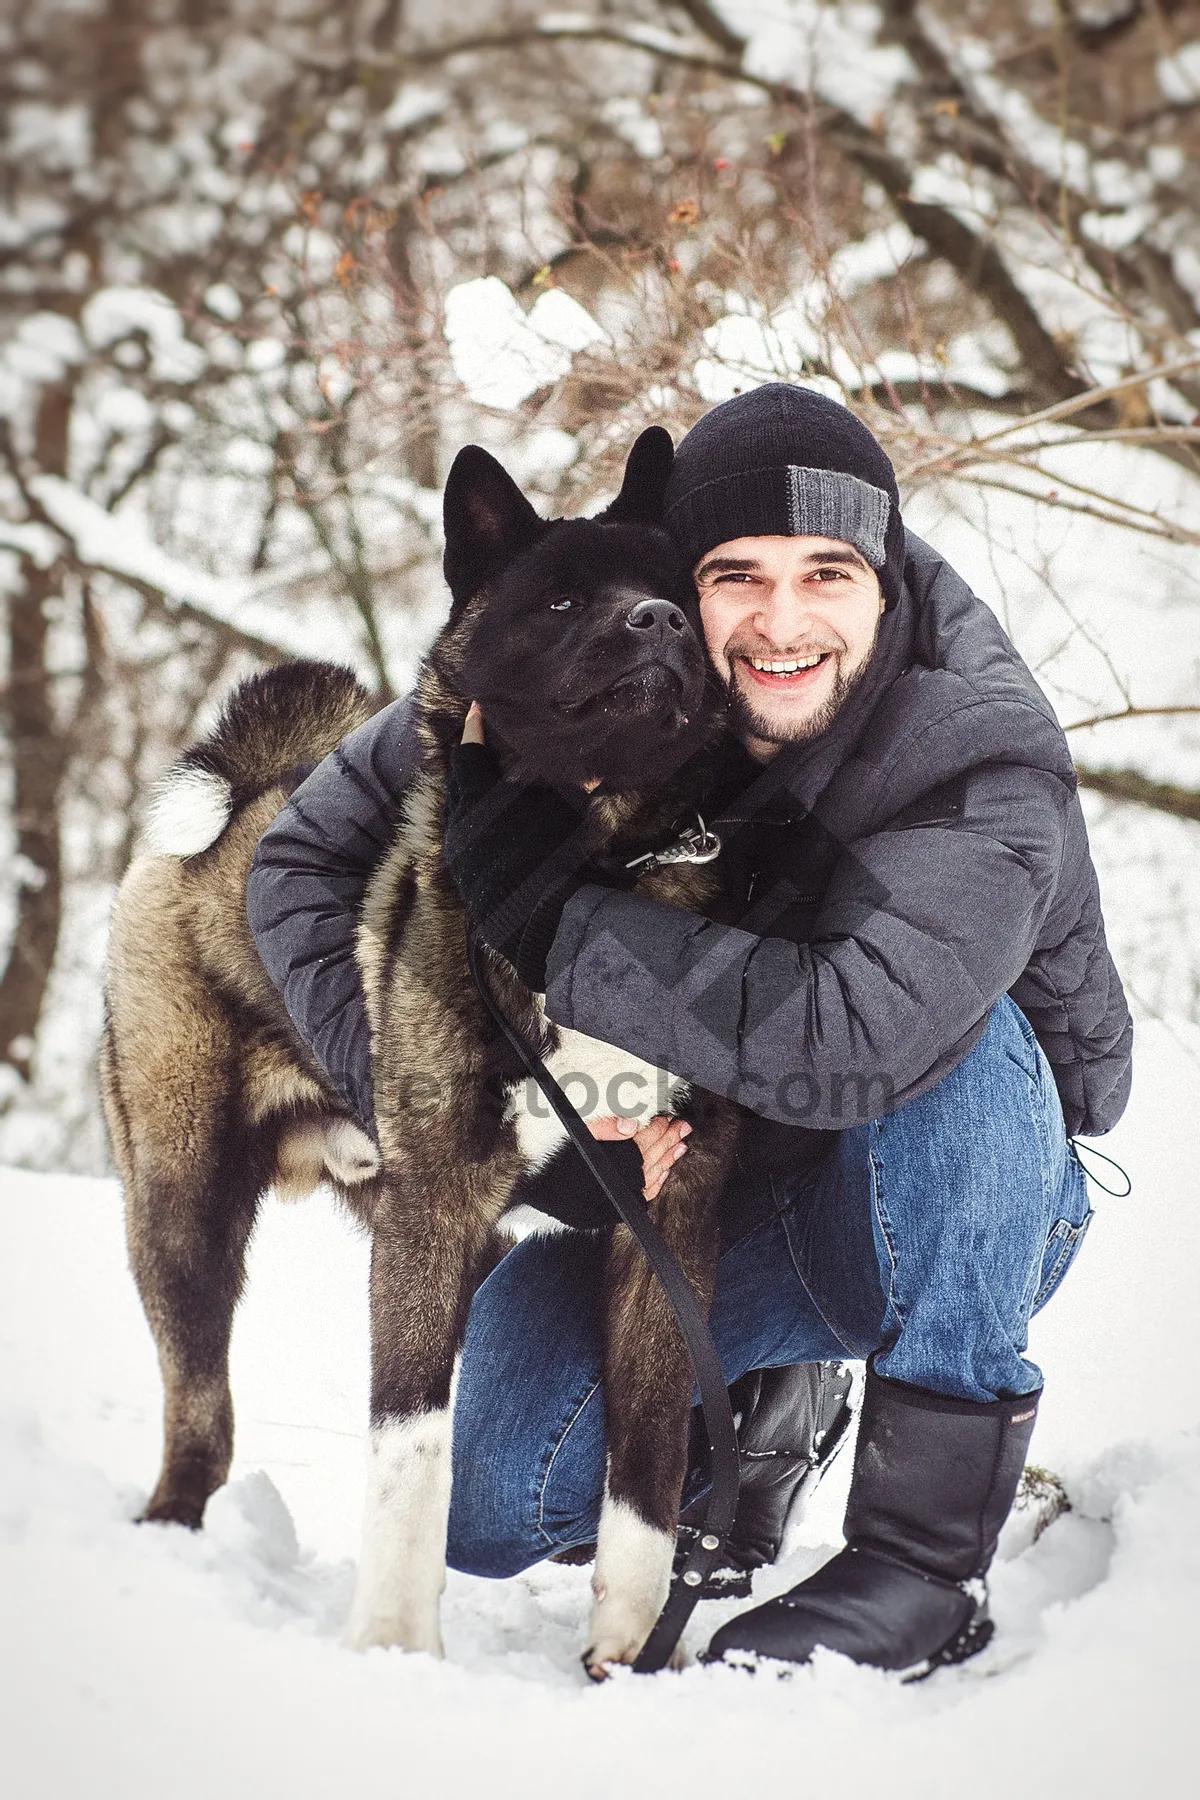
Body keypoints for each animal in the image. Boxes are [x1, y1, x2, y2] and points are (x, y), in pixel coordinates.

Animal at [103, 432, 744, 1670]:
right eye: (559, 600)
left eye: (681, 589)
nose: (658, 622)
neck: (598, 876)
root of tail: (244, 800)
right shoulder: (436, 1212)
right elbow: (412, 1448)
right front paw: (396, 1645)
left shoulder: (669, 1226)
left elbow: (648, 1471)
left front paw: (631, 1653)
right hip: (185, 1216)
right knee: (200, 1420)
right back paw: (167, 1537)